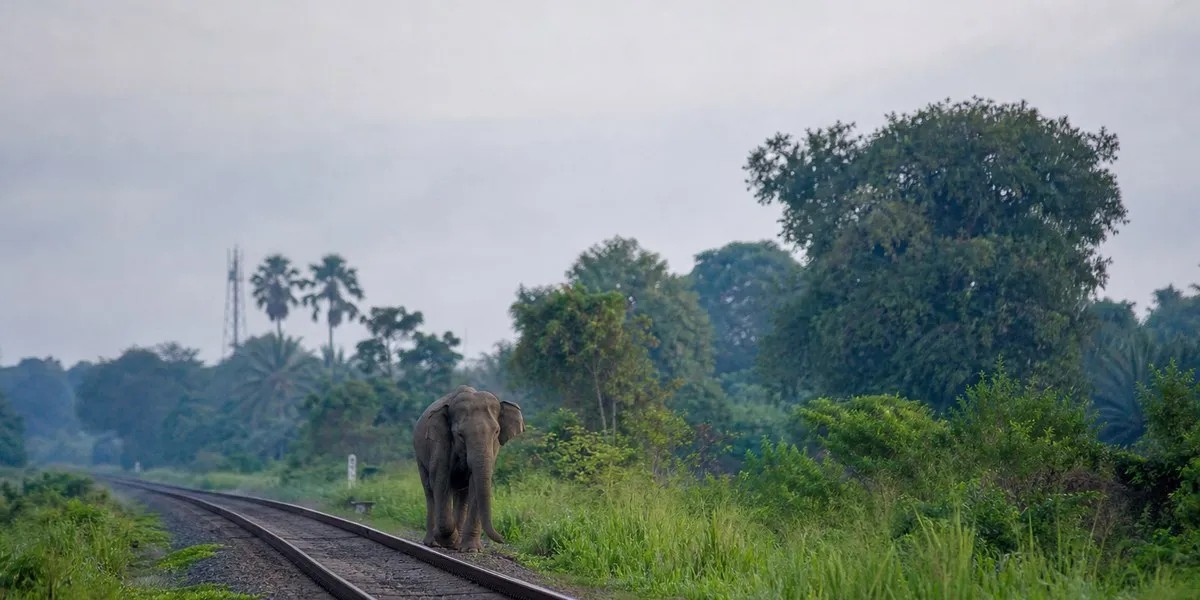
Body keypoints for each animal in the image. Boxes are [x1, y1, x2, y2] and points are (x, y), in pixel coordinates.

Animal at [413, 385, 524, 552]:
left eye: (496, 431)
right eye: (460, 434)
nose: (503, 539)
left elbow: (474, 484)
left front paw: (471, 550)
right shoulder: (441, 443)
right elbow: (440, 480)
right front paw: (447, 539)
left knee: (462, 494)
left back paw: (456, 544)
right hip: (420, 457)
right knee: (429, 490)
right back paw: (434, 542)